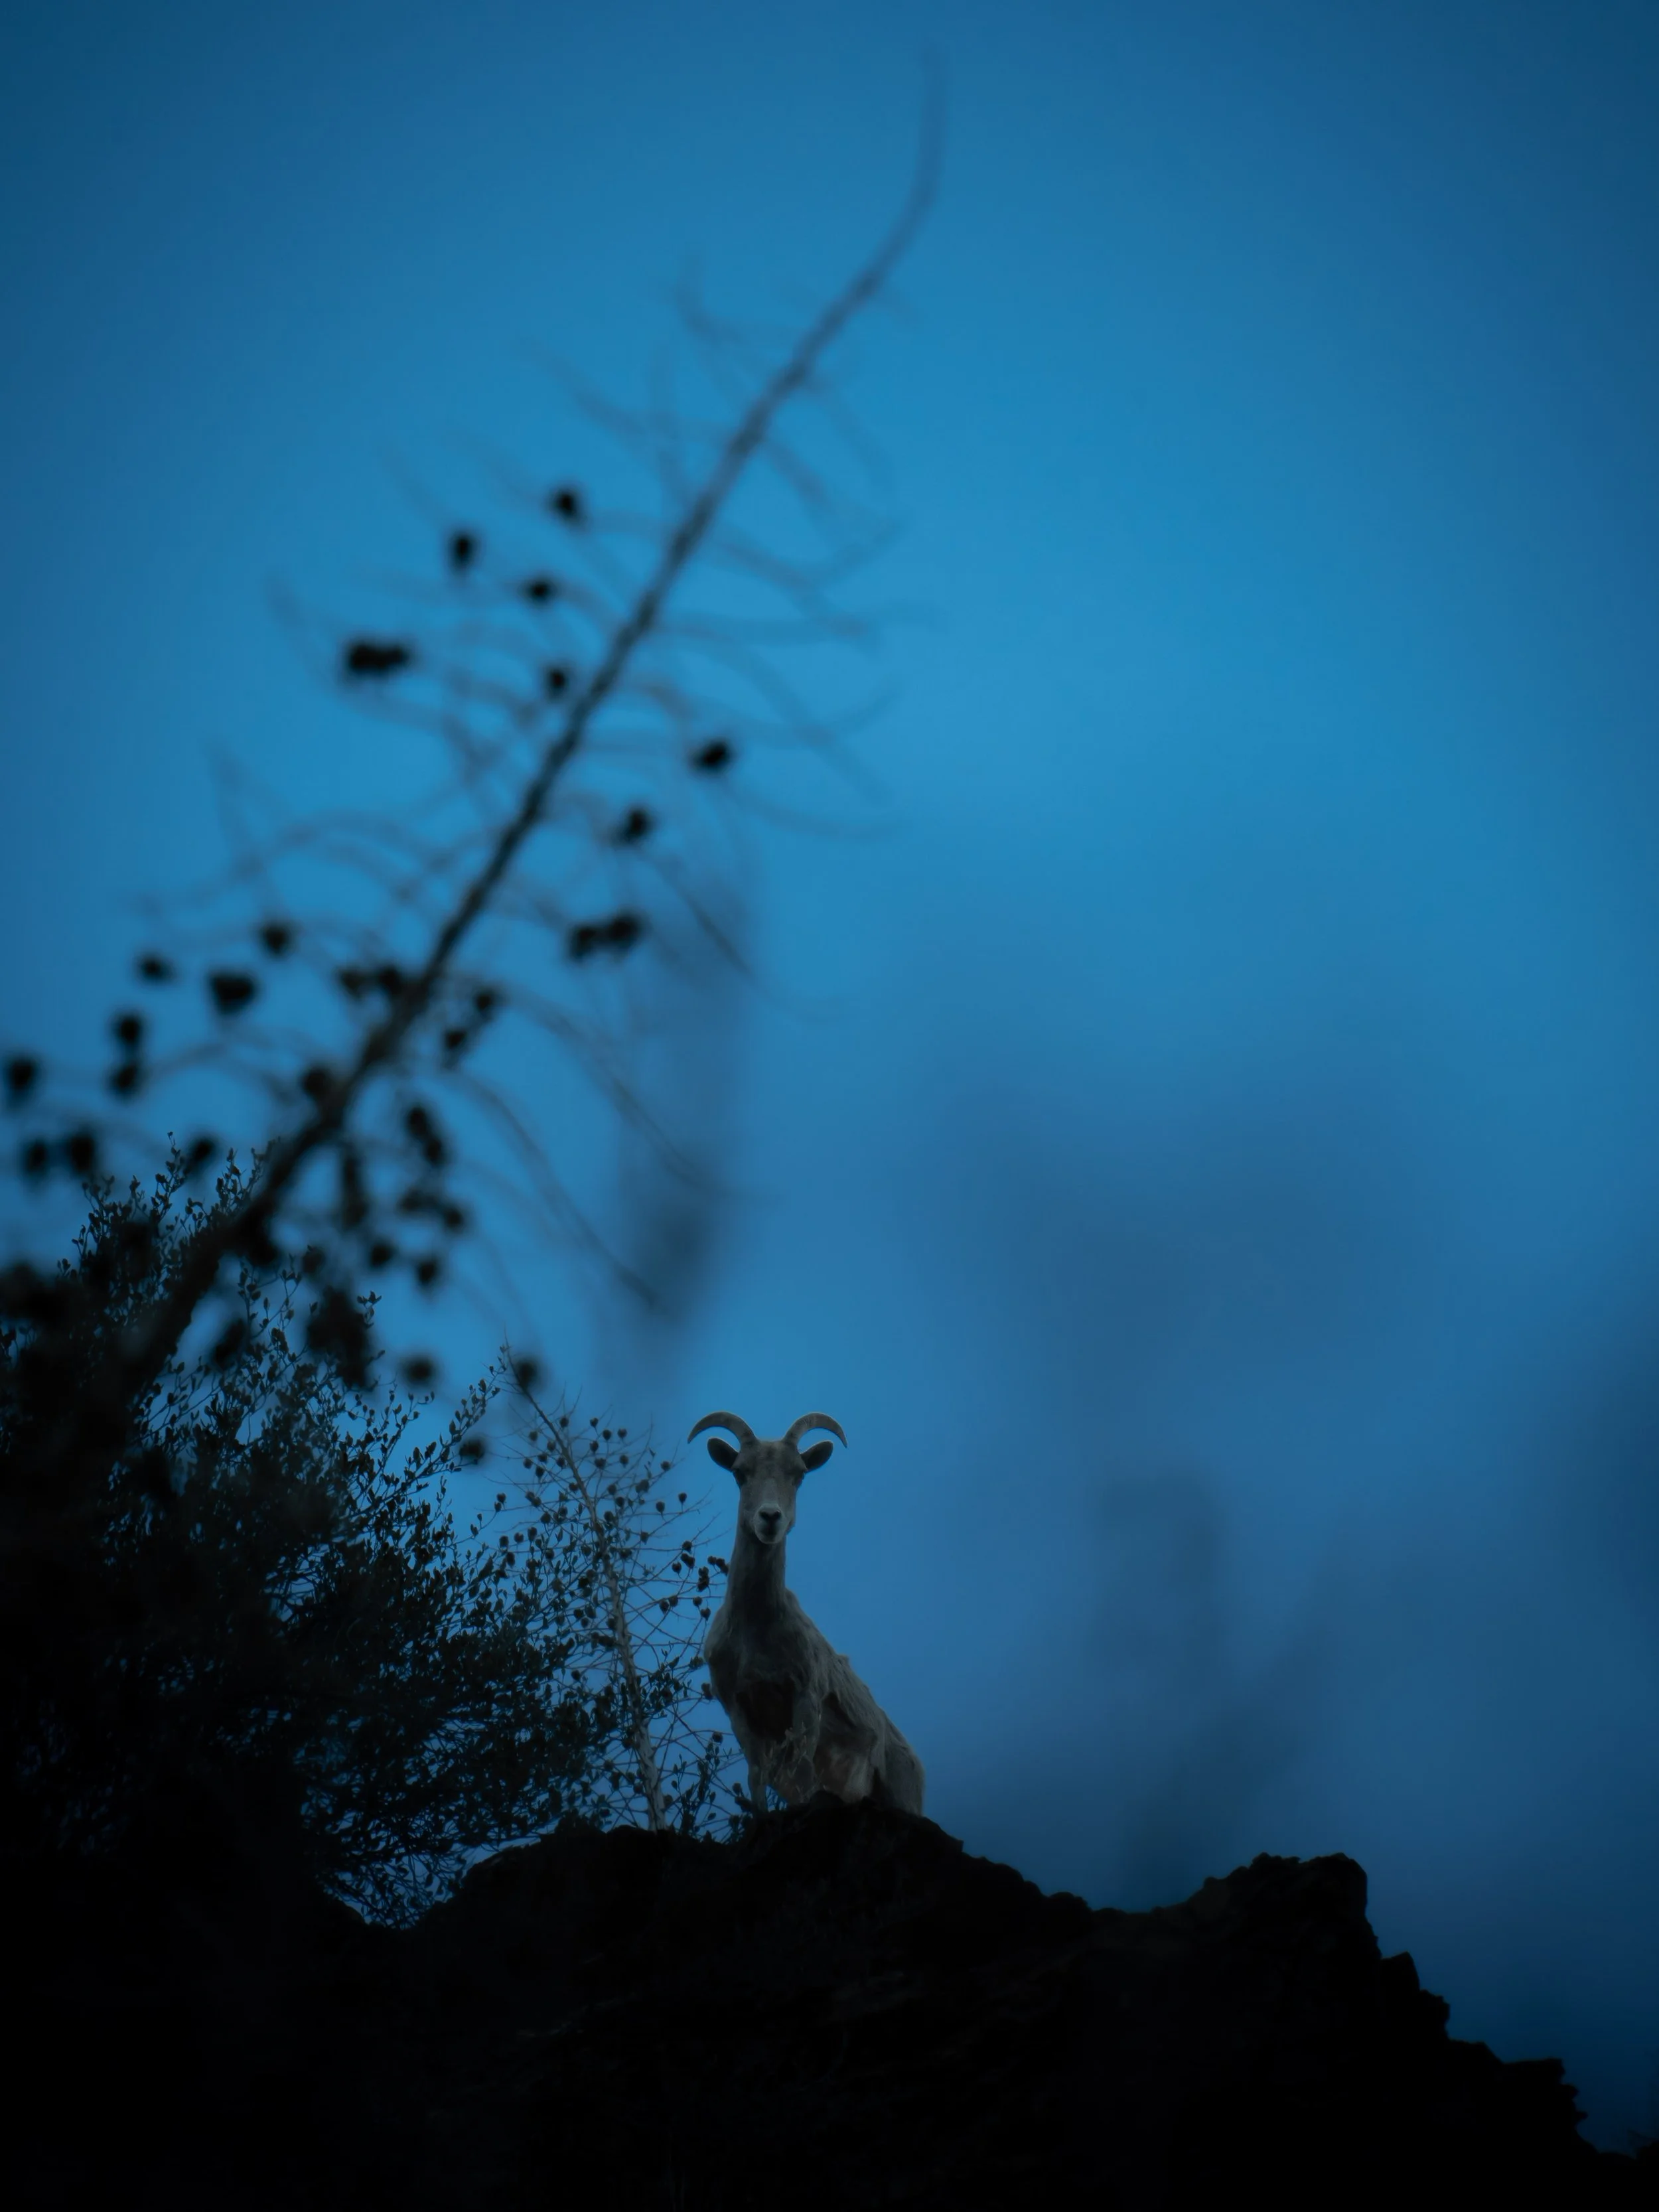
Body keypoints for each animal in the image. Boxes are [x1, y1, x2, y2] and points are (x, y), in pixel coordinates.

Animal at [691, 1410, 925, 1816]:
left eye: (799, 1473)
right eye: (739, 1472)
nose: (770, 1518)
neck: (756, 1633)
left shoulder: (806, 1699)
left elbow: (802, 1778)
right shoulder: (741, 1711)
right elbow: (758, 1780)